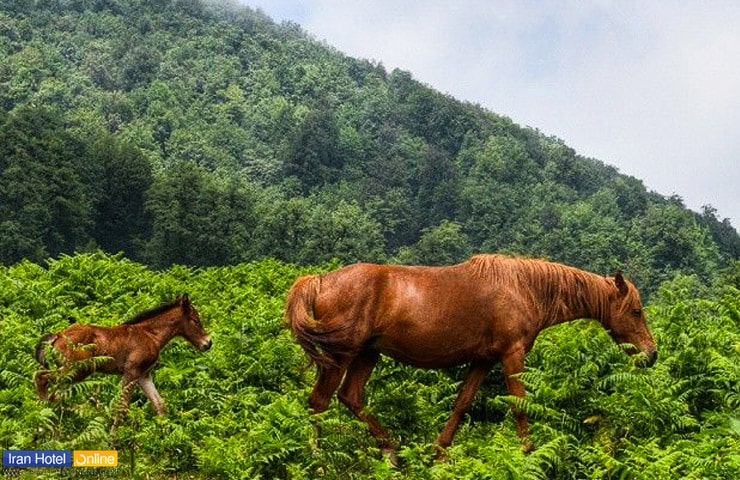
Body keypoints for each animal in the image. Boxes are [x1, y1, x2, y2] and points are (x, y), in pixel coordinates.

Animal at [36, 292, 212, 416]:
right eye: (196, 320)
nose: (208, 343)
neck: (151, 335)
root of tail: (57, 335)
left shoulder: (144, 375)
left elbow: (159, 404)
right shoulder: (131, 371)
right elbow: (121, 407)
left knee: (55, 394)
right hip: (78, 369)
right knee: (42, 379)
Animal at [286, 253, 656, 456]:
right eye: (636, 311)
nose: (651, 355)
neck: (525, 289)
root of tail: (321, 279)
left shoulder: (483, 360)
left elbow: (461, 404)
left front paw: (439, 454)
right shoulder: (512, 355)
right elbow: (519, 406)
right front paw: (528, 452)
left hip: (368, 354)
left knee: (350, 397)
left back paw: (392, 450)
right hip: (342, 354)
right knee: (319, 401)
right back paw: (318, 454)